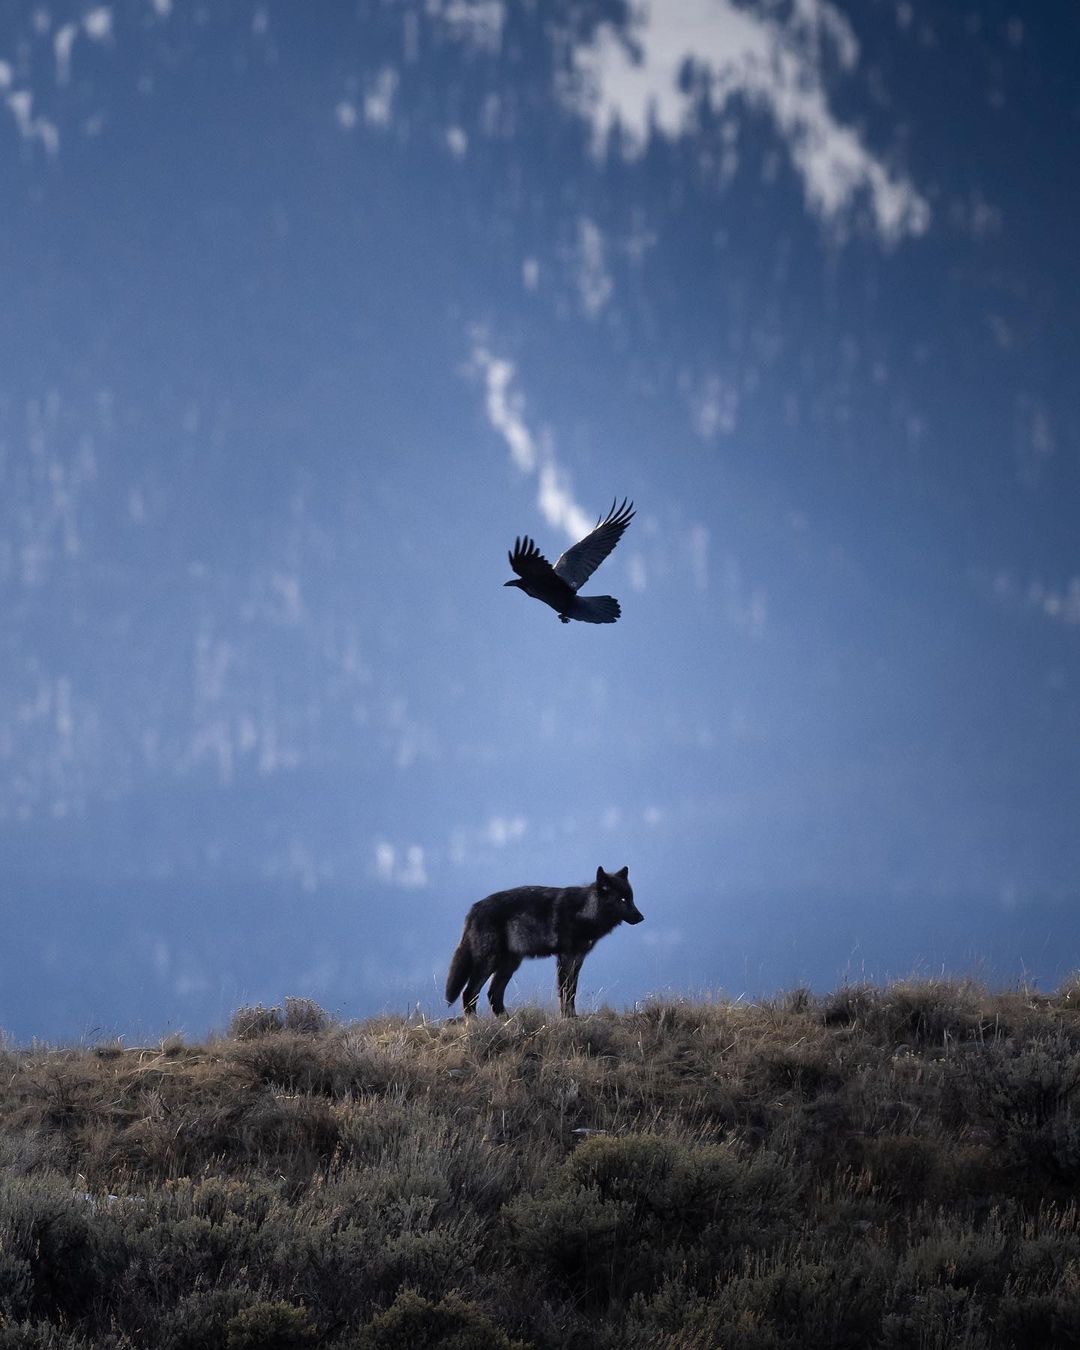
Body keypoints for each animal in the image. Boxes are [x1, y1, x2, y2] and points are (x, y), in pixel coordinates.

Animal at [445, 866, 643, 1017]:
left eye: (632, 898)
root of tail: (474, 908)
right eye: (622, 899)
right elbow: (565, 990)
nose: (641, 918)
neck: (584, 912)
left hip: (509, 964)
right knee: (470, 993)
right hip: (489, 962)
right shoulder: (565, 957)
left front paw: (573, 1016)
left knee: (494, 993)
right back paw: (476, 1024)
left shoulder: (578, 959)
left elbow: (572, 990)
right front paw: (567, 1018)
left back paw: (509, 1022)